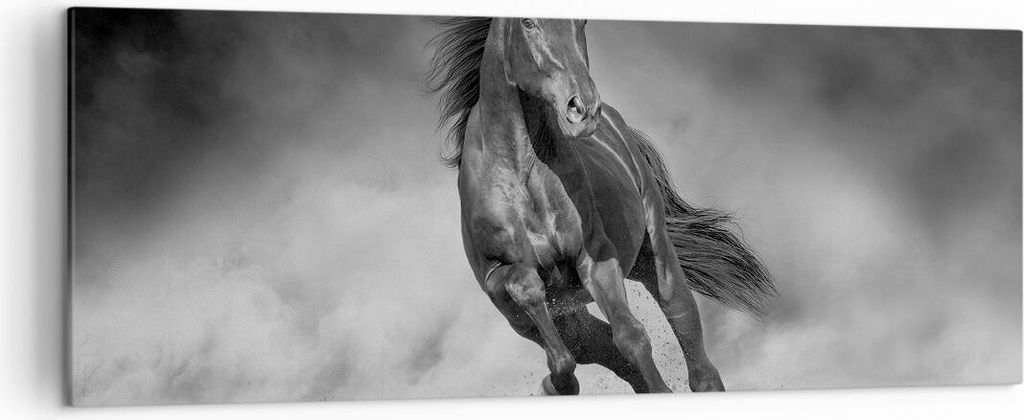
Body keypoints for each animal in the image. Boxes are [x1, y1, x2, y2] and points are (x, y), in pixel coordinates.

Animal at [426, 17, 775, 395]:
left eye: (582, 22)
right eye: (528, 23)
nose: (583, 108)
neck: (522, 176)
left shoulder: (594, 258)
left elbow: (631, 336)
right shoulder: (501, 284)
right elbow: (534, 299)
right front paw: (555, 382)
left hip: (652, 250)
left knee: (679, 316)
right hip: (560, 316)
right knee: (600, 346)